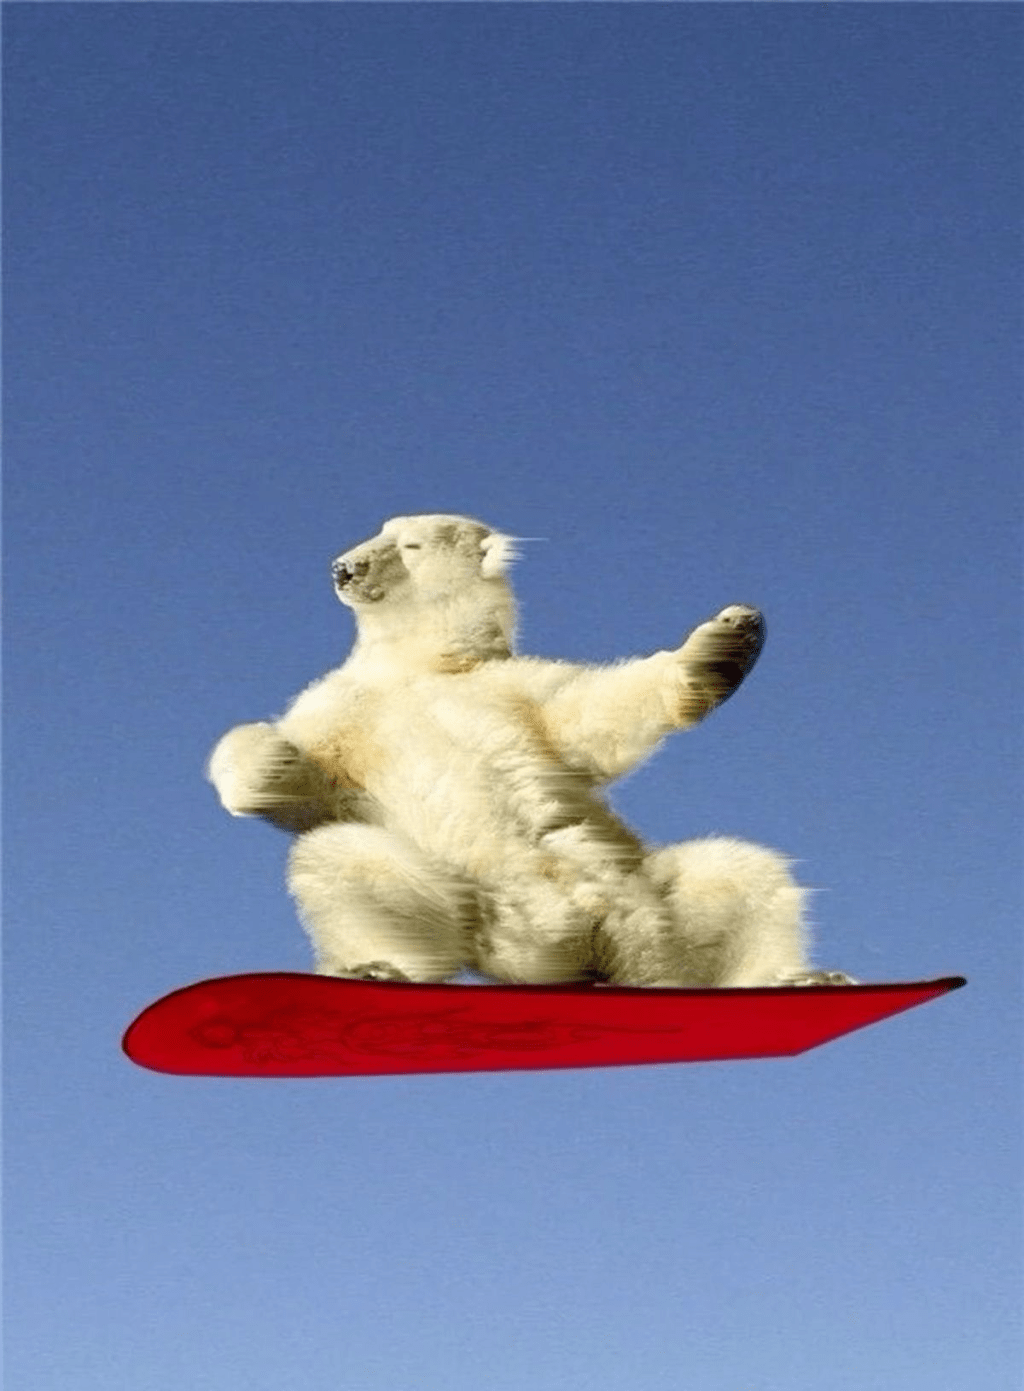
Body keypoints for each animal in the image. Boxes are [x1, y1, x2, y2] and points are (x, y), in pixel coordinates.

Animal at [208, 514, 851, 988]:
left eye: (407, 543)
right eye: (378, 534)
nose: (345, 567)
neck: (421, 666)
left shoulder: (515, 689)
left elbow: (593, 712)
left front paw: (726, 643)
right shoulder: (346, 711)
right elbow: (305, 784)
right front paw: (269, 764)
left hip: (655, 896)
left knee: (738, 872)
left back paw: (797, 976)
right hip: (485, 918)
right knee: (343, 858)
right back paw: (378, 967)